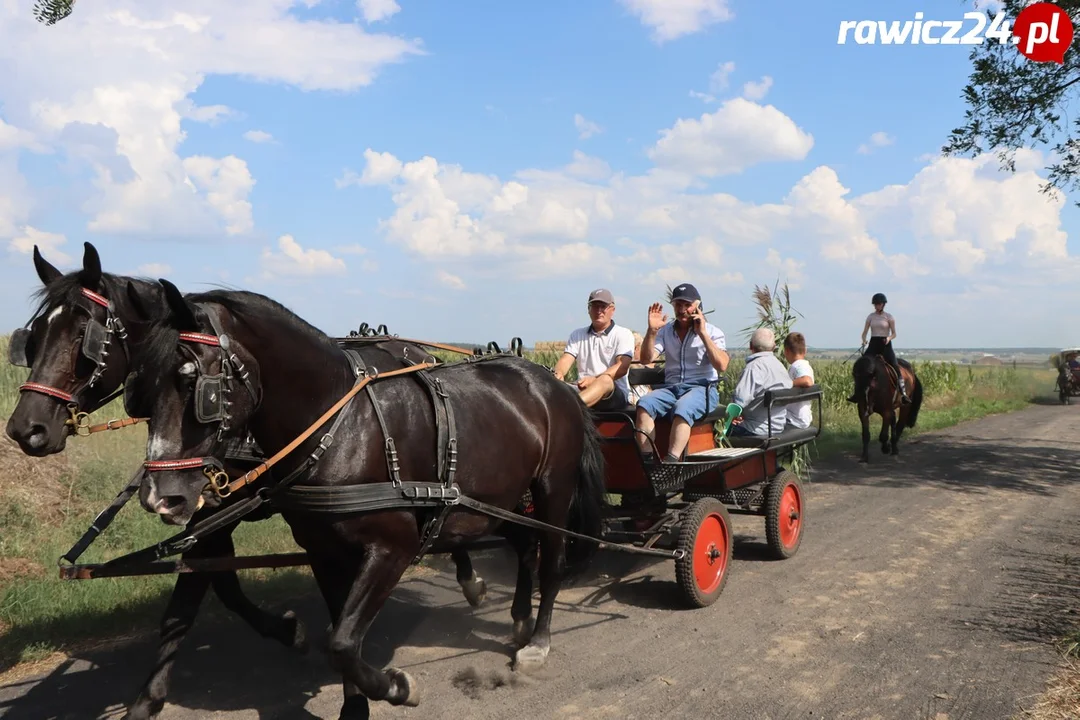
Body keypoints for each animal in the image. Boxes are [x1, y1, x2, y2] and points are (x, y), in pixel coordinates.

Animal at [3, 243, 486, 720]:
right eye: (33, 337)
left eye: (85, 337)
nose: (26, 429)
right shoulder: (206, 512)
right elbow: (201, 598)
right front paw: (148, 700)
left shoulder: (218, 508)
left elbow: (208, 593)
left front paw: (288, 632)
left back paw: (470, 579)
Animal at [126, 278, 609, 716]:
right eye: (141, 390)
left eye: (196, 385)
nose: (159, 498)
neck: (339, 427)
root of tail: (556, 384)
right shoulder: (324, 551)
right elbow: (340, 632)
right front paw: (357, 704)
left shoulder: (394, 546)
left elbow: (341, 642)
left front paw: (398, 687)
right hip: (499, 498)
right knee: (525, 546)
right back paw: (519, 618)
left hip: (551, 489)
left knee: (551, 560)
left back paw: (538, 641)